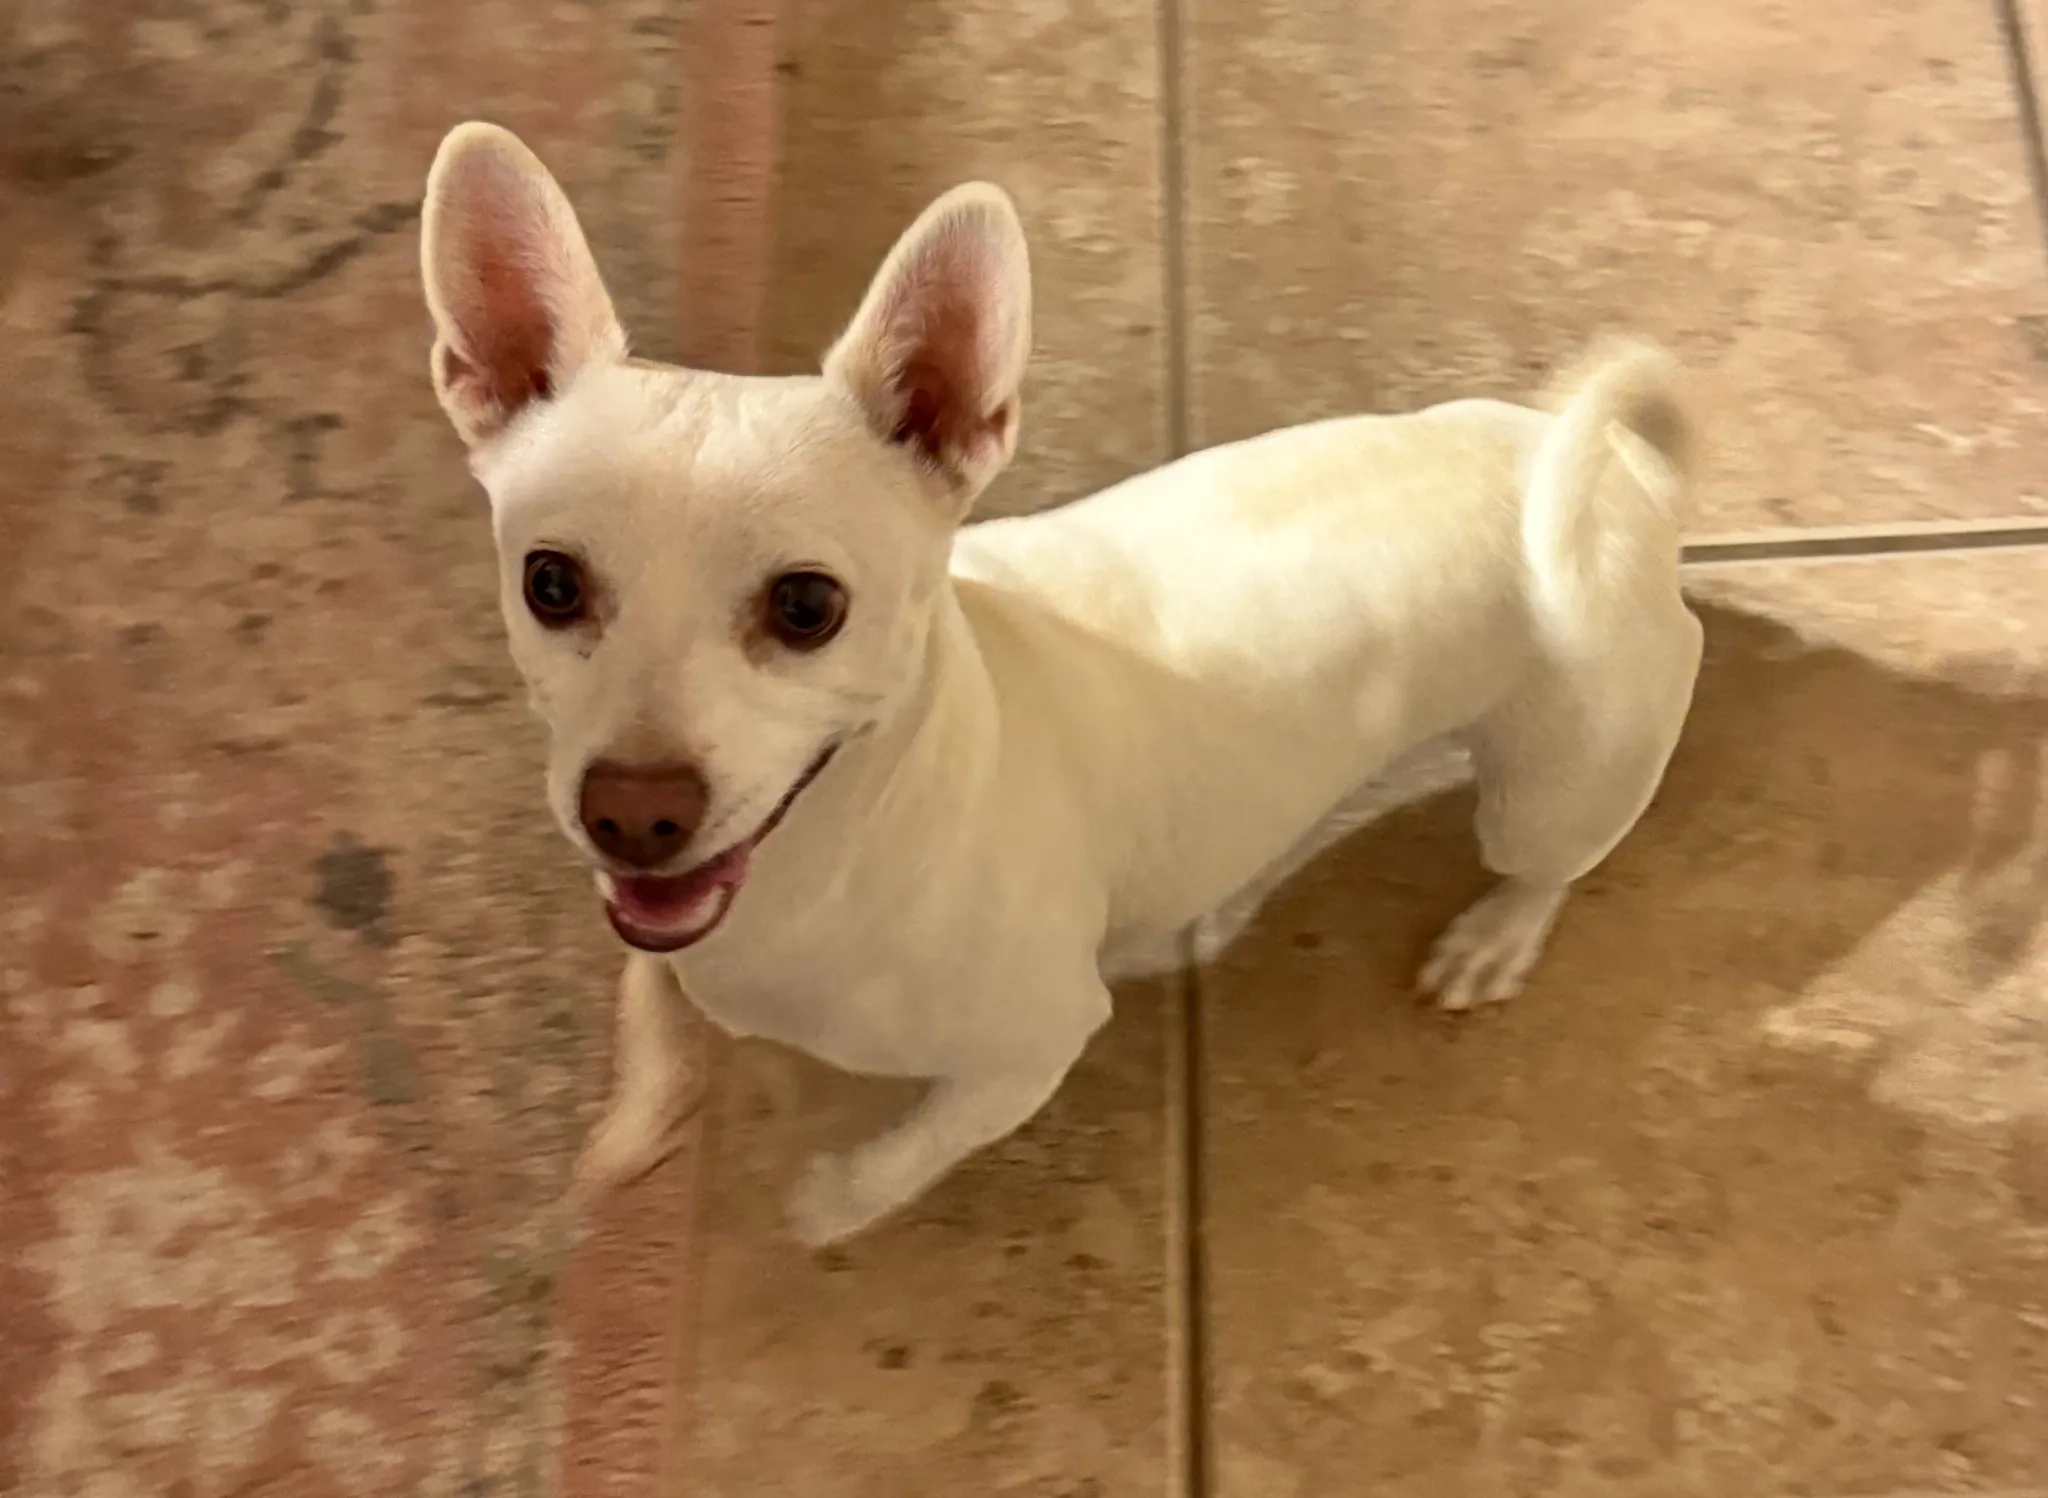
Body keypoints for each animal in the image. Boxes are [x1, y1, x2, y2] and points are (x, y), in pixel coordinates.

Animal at [417, 122, 1702, 1247]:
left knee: (1547, 865)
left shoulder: (1029, 1051)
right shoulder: (656, 927)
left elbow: (909, 1149)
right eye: (548, 584)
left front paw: (831, 1200)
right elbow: (649, 1003)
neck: (821, 865)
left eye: (806, 606)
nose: (631, 814)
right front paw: (635, 1126)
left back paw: (1493, 933)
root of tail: (1608, 475)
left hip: (1550, 788)